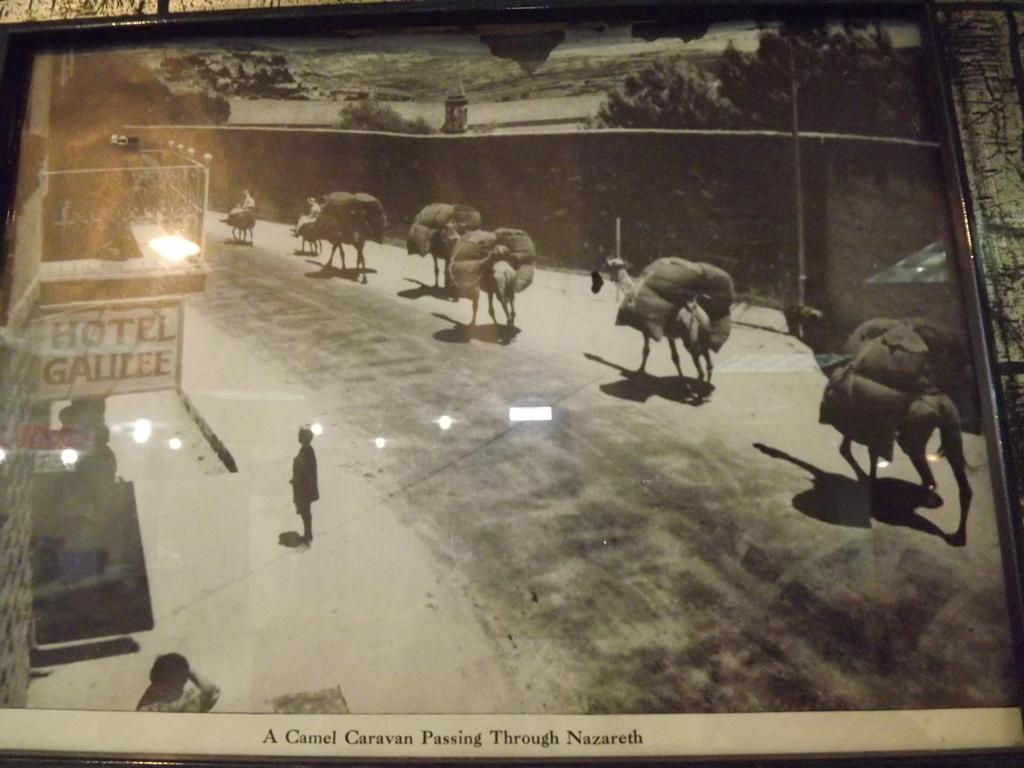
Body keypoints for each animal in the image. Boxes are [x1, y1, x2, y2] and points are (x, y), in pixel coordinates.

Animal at [602, 257, 733, 382]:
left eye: (612, 266)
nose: (607, 275)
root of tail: (701, 318)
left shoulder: (646, 331)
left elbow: (646, 350)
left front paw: (640, 371)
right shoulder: (670, 336)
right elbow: (675, 357)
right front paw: (681, 379)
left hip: (691, 341)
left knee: (700, 370)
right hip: (703, 337)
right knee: (709, 365)